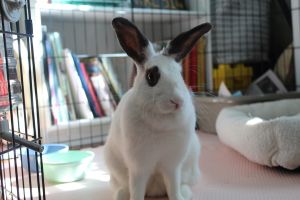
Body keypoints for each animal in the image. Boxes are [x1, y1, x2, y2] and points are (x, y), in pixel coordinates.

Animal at [104, 17, 212, 200]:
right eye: (151, 76)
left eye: (180, 74)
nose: (177, 101)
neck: (162, 120)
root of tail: (155, 191)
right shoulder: (138, 167)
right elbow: (137, 190)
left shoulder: (172, 166)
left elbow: (173, 187)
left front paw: (178, 198)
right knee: (125, 188)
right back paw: (121, 194)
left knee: (182, 185)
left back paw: (185, 193)